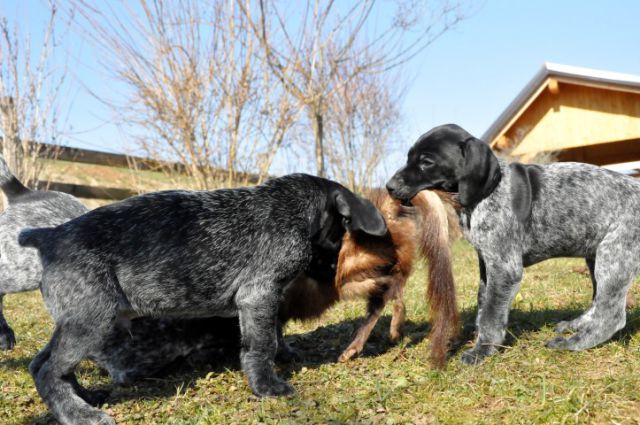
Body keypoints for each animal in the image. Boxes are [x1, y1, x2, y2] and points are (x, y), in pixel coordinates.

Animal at [20, 173, 388, 424]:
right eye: (341, 231)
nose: (334, 273)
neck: (289, 209)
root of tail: (49, 237)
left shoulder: (264, 299)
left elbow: (273, 335)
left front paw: (284, 358)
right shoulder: (259, 294)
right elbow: (262, 344)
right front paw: (267, 385)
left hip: (76, 321)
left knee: (43, 364)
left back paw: (85, 397)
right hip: (91, 322)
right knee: (50, 371)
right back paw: (78, 414)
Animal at [388, 122, 640, 364]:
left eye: (426, 162)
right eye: (409, 158)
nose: (389, 186)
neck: (487, 193)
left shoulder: (504, 268)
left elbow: (491, 313)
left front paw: (483, 349)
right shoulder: (486, 262)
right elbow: (483, 304)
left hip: (614, 256)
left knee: (611, 315)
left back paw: (573, 343)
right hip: (596, 255)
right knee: (599, 302)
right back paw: (577, 325)